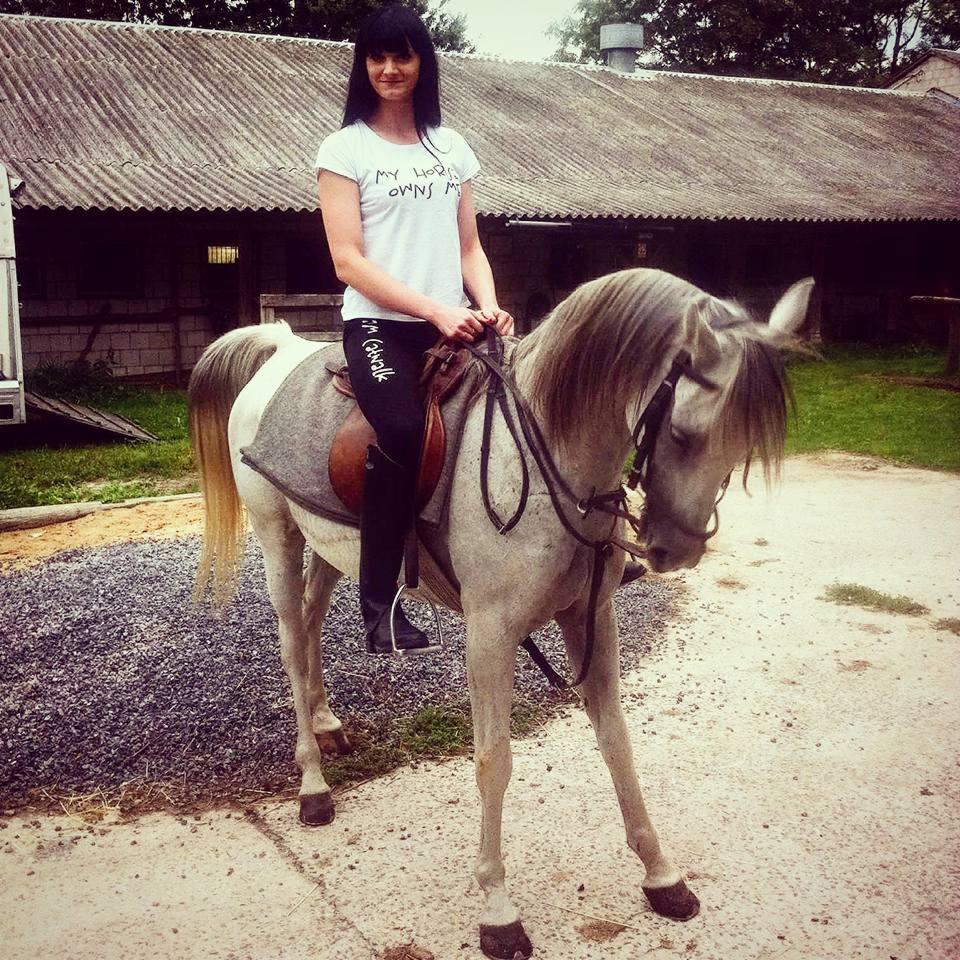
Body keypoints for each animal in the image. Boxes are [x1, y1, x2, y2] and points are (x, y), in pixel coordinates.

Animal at [188, 267, 812, 959]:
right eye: (683, 434)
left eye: (743, 445)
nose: (677, 550)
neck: (544, 458)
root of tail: (284, 347)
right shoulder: (491, 635)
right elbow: (494, 761)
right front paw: (498, 910)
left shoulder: (591, 620)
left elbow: (617, 742)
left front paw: (662, 876)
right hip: (279, 536)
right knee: (292, 642)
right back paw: (313, 786)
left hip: (332, 543)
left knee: (314, 618)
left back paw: (328, 725)